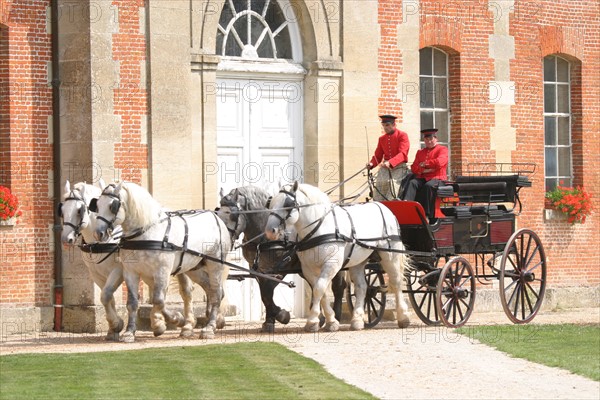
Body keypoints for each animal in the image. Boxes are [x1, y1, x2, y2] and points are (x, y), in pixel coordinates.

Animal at [57, 181, 135, 340]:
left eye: (79, 210)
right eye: (61, 210)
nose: (66, 239)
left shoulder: (118, 271)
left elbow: (105, 296)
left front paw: (116, 324)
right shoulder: (96, 274)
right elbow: (108, 297)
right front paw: (113, 328)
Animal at [92, 183, 231, 340]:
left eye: (112, 206)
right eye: (97, 205)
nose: (98, 233)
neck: (146, 232)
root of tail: (216, 217)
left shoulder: (162, 271)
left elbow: (158, 300)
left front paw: (166, 322)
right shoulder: (130, 272)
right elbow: (133, 303)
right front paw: (129, 332)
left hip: (215, 265)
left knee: (216, 294)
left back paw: (209, 327)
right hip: (193, 268)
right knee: (209, 288)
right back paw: (209, 322)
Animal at [264, 181, 410, 332]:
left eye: (288, 204)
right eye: (271, 203)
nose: (269, 231)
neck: (318, 229)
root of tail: (384, 207)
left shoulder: (331, 264)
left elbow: (319, 289)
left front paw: (313, 321)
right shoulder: (308, 268)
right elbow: (321, 292)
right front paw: (330, 320)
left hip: (390, 256)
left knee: (396, 282)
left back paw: (403, 317)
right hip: (358, 261)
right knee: (361, 287)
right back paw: (357, 320)